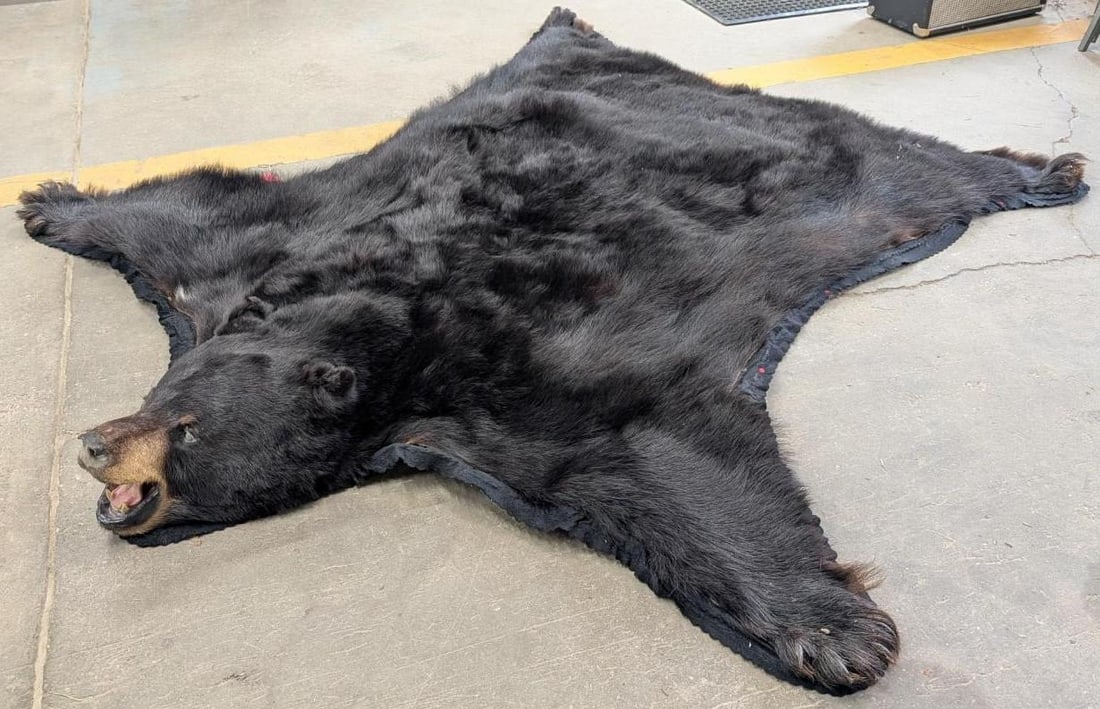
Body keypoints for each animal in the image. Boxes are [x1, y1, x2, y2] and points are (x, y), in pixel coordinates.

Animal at [17, 7, 1088, 695]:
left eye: (189, 431)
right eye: (166, 396)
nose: (95, 444)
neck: (372, 328)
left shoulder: (534, 379)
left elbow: (655, 453)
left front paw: (831, 632)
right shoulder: (260, 255)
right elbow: (191, 215)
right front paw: (49, 198)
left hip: (852, 182)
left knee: (918, 169)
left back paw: (1044, 167)